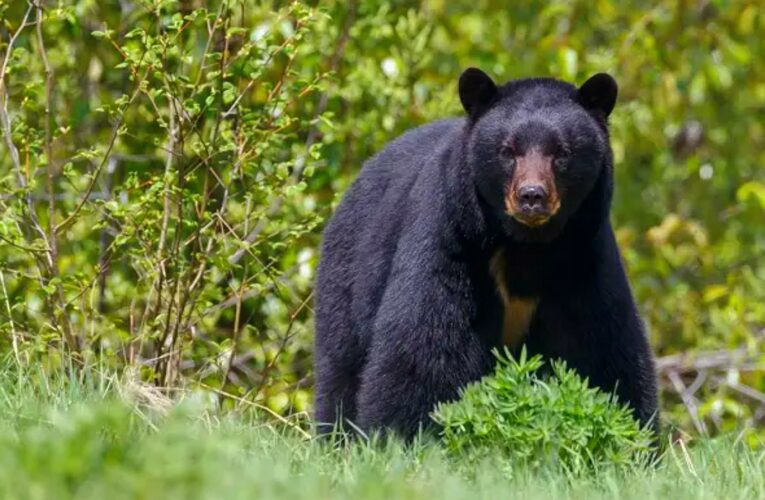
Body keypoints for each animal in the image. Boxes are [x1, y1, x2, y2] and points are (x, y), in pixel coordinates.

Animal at [314, 68, 659, 440]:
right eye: (508, 150)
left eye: (562, 151)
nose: (532, 196)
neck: (526, 245)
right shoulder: (451, 240)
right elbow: (425, 343)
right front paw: (402, 435)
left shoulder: (582, 258)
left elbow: (603, 347)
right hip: (349, 274)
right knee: (341, 365)